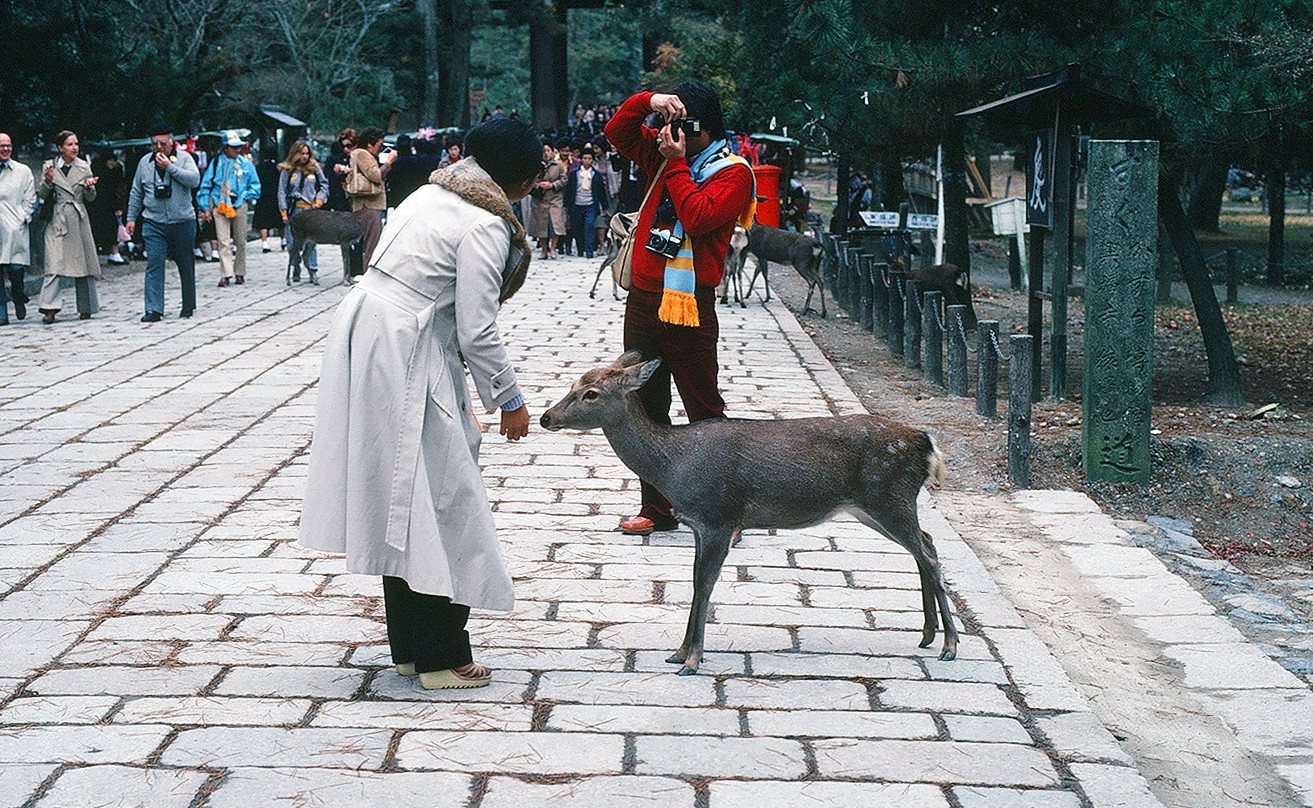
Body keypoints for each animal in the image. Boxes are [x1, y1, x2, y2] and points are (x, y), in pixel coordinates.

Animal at [538, 354, 961, 677]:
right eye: (573, 384)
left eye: (590, 393)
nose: (545, 418)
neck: (674, 466)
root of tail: (927, 444)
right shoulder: (700, 524)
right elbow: (695, 581)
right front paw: (679, 652)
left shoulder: (719, 516)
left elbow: (705, 584)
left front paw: (692, 660)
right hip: (875, 507)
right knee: (926, 544)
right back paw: (927, 634)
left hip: (889, 498)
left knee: (929, 555)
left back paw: (951, 645)